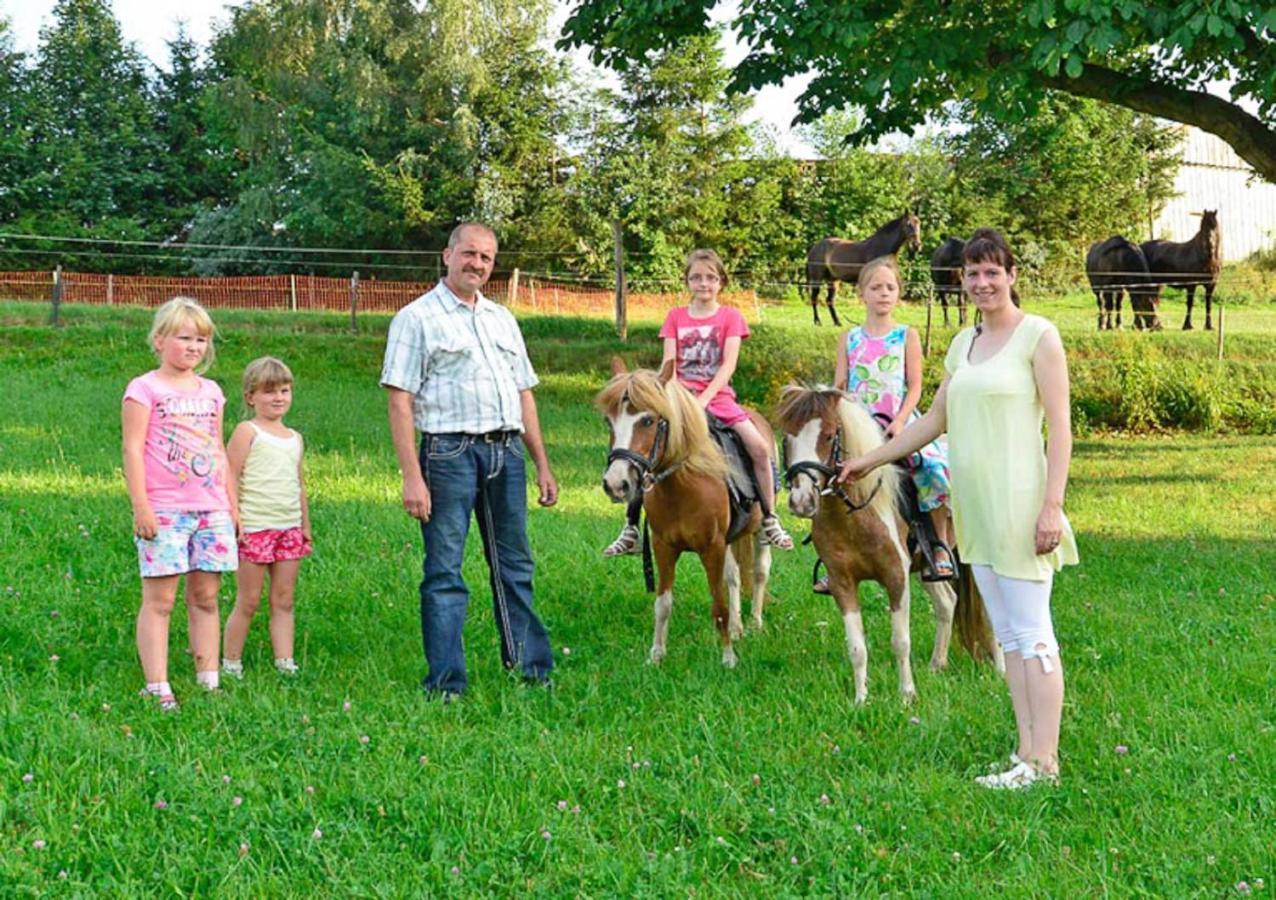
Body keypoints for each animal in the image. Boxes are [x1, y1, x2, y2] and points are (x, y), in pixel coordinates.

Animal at [594, 357, 770, 668]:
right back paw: (738, 627)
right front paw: (656, 655)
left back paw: (755, 623)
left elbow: (719, 605)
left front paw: (728, 658)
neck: (684, 484)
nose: (616, 484)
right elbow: (663, 604)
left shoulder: (711, 547)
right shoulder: (664, 546)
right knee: (735, 577)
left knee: (760, 572)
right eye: (609, 421)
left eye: (648, 420)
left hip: (758, 531)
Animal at [770, 385, 1000, 704]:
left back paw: (1001, 670)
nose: (801, 501)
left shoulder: (896, 577)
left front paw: (907, 696)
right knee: (947, 602)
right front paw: (860, 699)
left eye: (828, 435)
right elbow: (856, 647)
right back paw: (936, 665)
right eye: (787, 437)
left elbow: (900, 641)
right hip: (926, 567)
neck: (855, 514)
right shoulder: (842, 582)